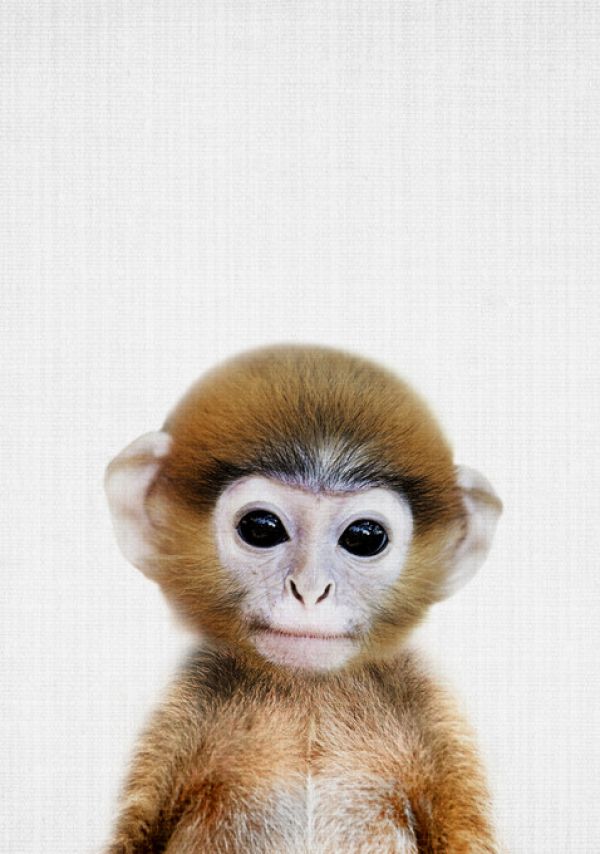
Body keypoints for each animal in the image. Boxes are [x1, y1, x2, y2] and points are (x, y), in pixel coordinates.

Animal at [104, 344, 502, 853]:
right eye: (261, 528)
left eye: (364, 537)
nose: (310, 591)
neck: (308, 694)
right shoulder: (182, 709)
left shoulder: (432, 713)